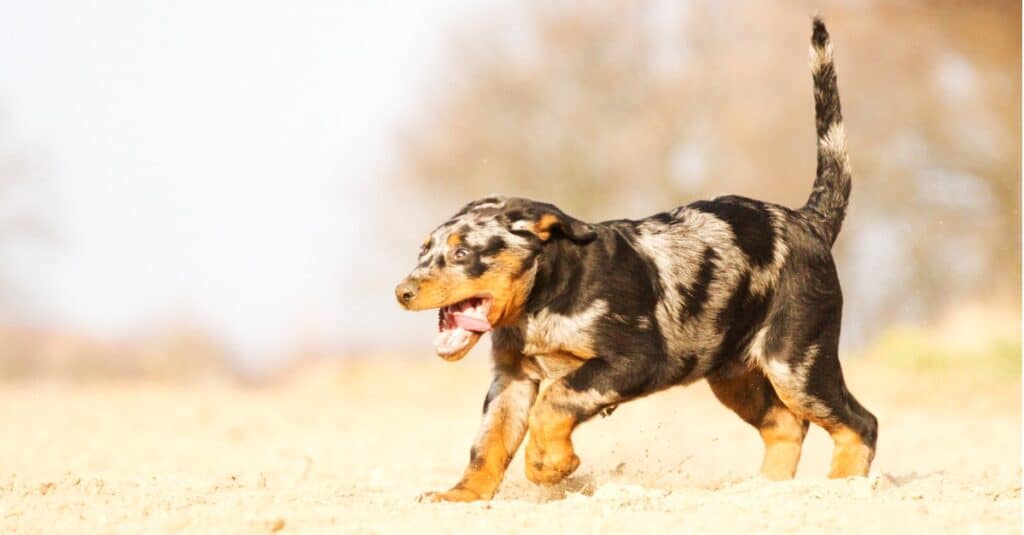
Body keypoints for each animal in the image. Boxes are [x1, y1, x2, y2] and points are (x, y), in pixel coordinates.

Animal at [395, 16, 876, 500]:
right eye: (423, 251)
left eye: (462, 252)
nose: (402, 292)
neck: (543, 301)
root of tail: (809, 220)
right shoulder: (512, 379)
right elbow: (487, 444)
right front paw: (460, 497)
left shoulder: (633, 360)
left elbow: (555, 401)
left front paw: (549, 466)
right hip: (735, 374)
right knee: (787, 425)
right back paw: (764, 491)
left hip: (796, 362)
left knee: (859, 422)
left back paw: (844, 487)